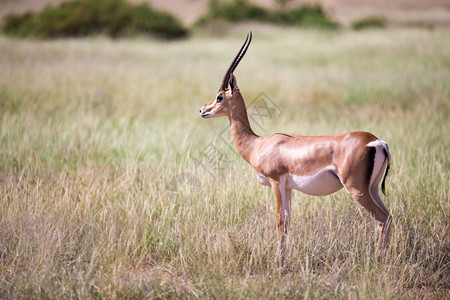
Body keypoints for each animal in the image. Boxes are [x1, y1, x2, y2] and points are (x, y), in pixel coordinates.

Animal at [199, 32, 392, 258]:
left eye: (219, 96)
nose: (203, 110)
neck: (257, 144)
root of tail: (377, 142)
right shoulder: (289, 187)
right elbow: (288, 222)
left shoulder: (276, 182)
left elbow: (279, 221)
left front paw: (278, 259)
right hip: (373, 189)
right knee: (388, 216)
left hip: (356, 189)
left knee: (381, 218)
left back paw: (378, 258)